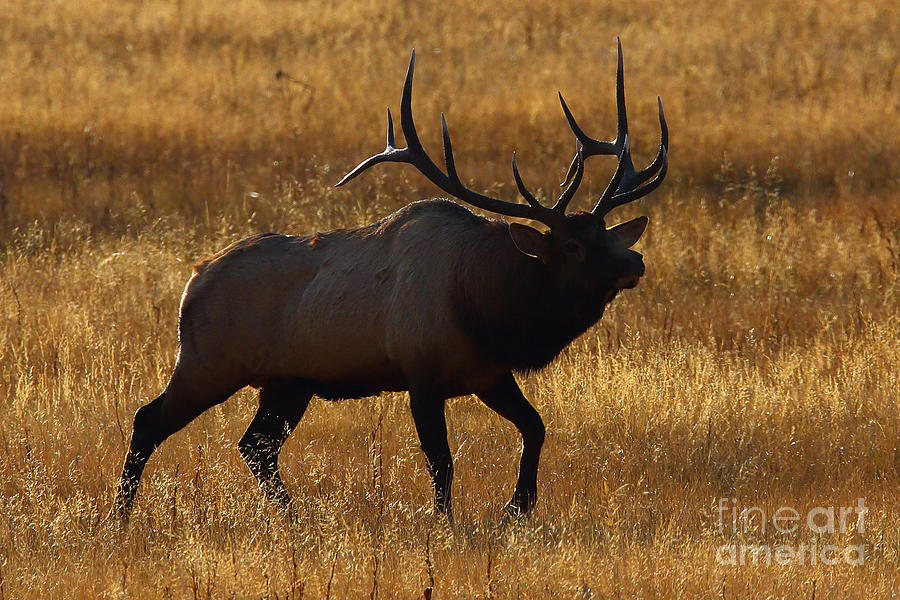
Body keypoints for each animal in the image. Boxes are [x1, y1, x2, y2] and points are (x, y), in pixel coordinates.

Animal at [114, 41, 668, 520]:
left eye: (605, 233)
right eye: (571, 246)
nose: (634, 262)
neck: (487, 307)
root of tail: (193, 282)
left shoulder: (489, 373)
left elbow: (535, 428)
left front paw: (518, 505)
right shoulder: (420, 374)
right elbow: (442, 462)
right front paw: (445, 523)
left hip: (287, 381)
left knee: (255, 445)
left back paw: (295, 517)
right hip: (209, 362)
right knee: (149, 420)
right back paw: (119, 517)